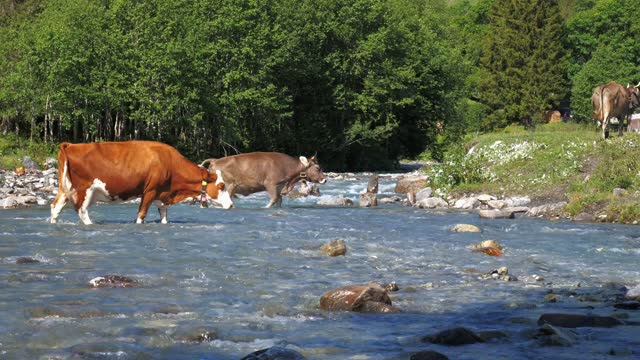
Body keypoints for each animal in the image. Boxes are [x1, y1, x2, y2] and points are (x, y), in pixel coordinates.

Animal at [50, 141, 234, 224]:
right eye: (221, 186)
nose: (232, 205)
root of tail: (70, 145)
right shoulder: (150, 191)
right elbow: (141, 214)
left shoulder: (161, 193)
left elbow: (164, 214)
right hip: (85, 190)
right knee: (82, 211)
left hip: (65, 188)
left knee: (55, 207)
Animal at [200, 152, 328, 208]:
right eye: (318, 168)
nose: (325, 180)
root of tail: (215, 160)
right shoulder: (270, 184)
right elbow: (274, 198)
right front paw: (265, 208)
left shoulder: (279, 186)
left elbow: (279, 199)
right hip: (229, 186)